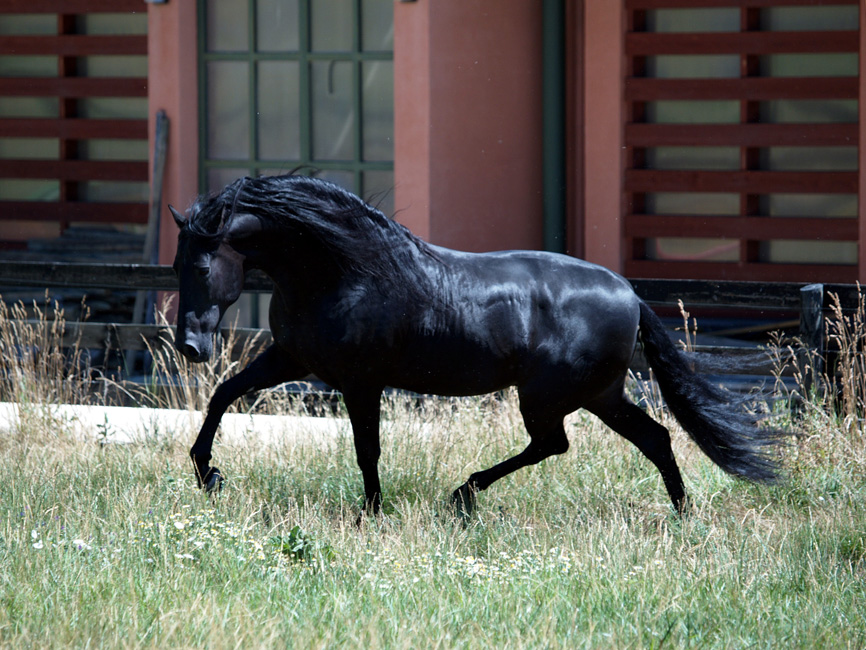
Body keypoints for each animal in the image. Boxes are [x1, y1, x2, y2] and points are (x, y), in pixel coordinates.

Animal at [170, 173, 784, 516]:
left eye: (201, 265)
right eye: (176, 266)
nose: (192, 347)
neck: (341, 270)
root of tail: (630, 294)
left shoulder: (360, 381)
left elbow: (367, 448)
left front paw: (372, 514)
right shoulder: (292, 358)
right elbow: (224, 395)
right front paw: (208, 475)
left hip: (549, 396)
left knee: (554, 444)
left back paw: (463, 494)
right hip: (599, 395)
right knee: (654, 439)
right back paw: (682, 515)